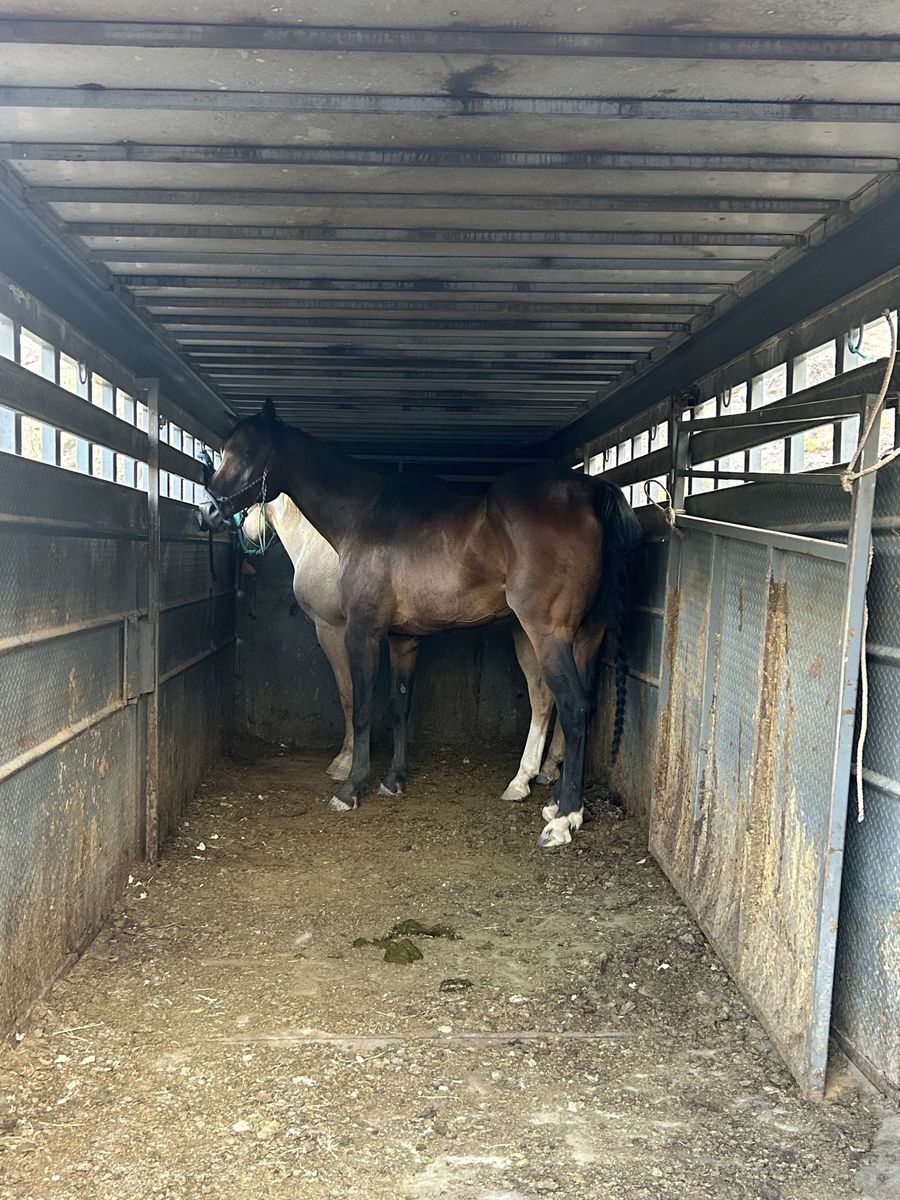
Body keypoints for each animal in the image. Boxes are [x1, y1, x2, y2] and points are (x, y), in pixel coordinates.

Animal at [199, 491, 567, 796]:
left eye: (247, 508)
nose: (212, 518)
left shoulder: (332, 629)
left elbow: (348, 694)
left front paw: (345, 762)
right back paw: (547, 769)